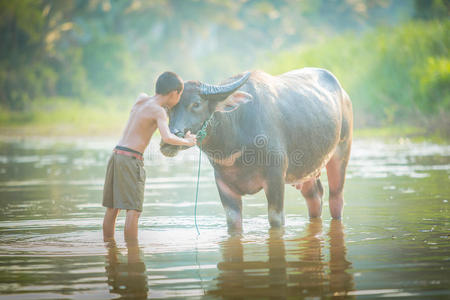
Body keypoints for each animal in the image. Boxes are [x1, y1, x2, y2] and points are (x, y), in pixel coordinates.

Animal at [160, 68, 354, 232]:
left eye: (196, 104)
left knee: (336, 199)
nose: (169, 141)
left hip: (341, 153)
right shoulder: (223, 184)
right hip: (307, 171)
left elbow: (276, 220)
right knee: (314, 197)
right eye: (168, 107)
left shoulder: (275, 178)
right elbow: (233, 222)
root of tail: (343, 94)